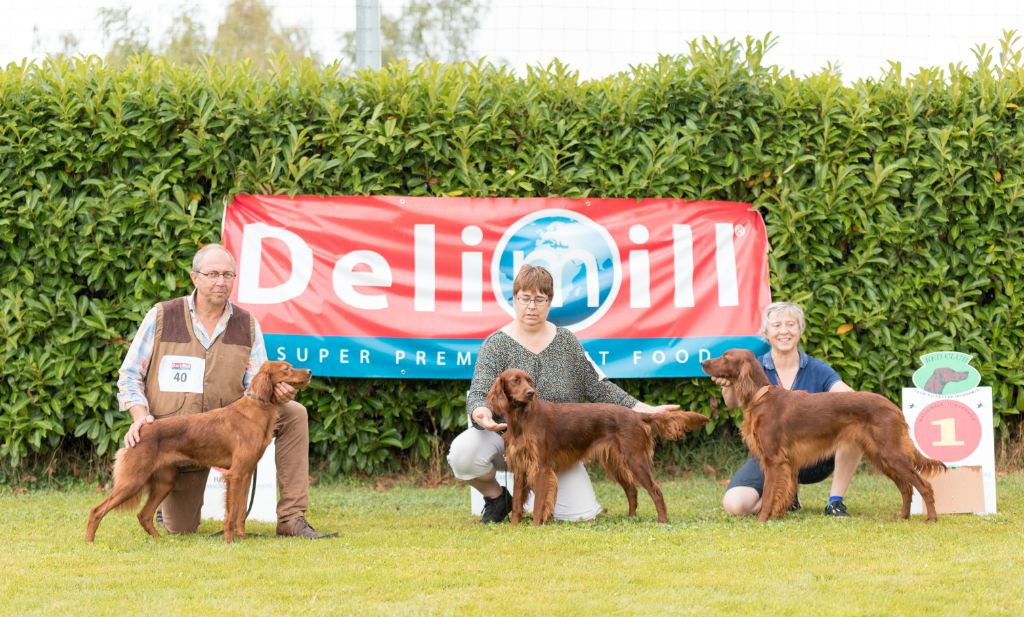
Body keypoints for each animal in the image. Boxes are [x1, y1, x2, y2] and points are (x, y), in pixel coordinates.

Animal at [86, 360, 309, 544]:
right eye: (286, 369)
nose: (309, 371)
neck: (257, 410)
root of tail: (141, 430)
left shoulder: (246, 474)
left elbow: (240, 513)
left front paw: (243, 538)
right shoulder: (236, 475)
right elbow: (231, 514)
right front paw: (229, 541)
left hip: (164, 482)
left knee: (144, 515)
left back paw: (161, 541)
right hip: (132, 481)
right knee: (96, 510)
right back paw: (89, 541)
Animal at [483, 366, 708, 527]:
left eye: (529, 381)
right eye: (515, 380)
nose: (531, 393)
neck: (521, 419)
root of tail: (636, 415)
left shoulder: (541, 467)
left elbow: (539, 502)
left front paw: (536, 526)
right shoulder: (520, 466)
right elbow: (516, 502)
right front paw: (514, 526)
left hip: (636, 459)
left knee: (656, 491)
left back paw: (662, 521)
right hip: (617, 463)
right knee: (632, 490)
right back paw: (631, 518)